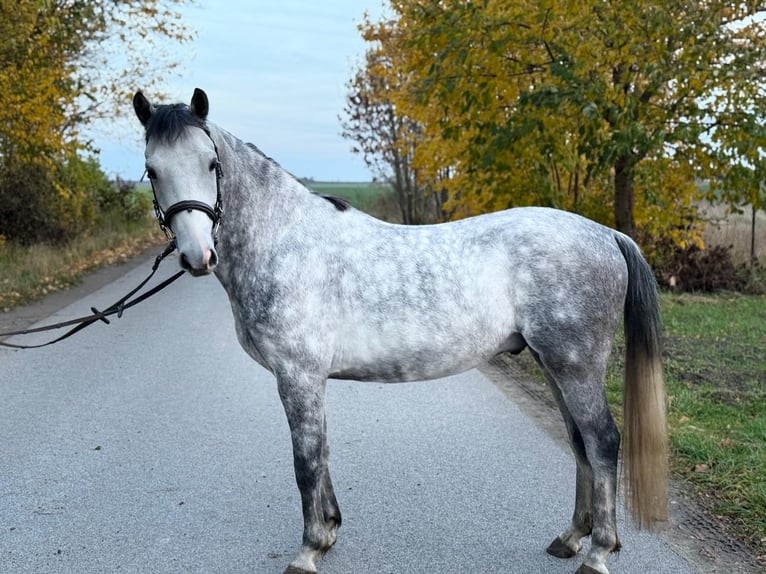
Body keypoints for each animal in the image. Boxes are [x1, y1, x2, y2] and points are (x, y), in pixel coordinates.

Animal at [132, 88, 668, 574]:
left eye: (211, 164)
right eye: (152, 171)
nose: (197, 256)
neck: (284, 241)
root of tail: (606, 234)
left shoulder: (298, 376)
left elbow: (306, 461)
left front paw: (308, 550)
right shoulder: (310, 380)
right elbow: (322, 453)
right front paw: (329, 532)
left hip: (574, 364)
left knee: (602, 441)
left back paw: (598, 552)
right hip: (552, 363)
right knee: (580, 443)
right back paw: (572, 538)